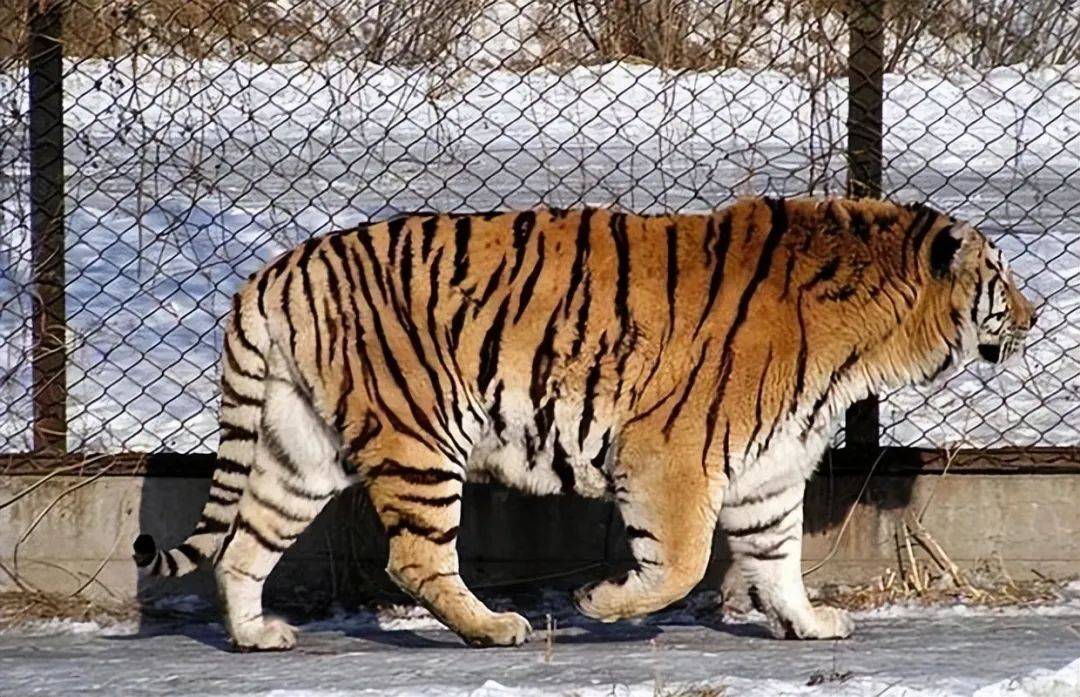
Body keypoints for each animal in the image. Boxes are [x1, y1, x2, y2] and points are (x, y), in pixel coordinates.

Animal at [133, 196, 1036, 651]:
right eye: (1001, 276)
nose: (1036, 315)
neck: (868, 345)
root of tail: (273, 272)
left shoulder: (770, 466)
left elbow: (778, 558)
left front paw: (808, 624)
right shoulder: (672, 454)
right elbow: (682, 562)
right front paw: (598, 602)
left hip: (302, 448)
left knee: (244, 544)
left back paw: (257, 636)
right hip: (420, 436)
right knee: (415, 558)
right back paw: (496, 627)